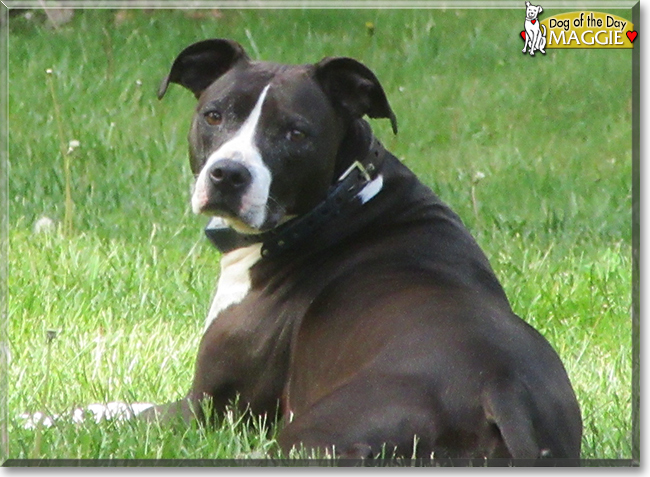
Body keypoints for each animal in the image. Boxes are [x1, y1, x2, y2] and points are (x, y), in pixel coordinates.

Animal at [148, 39, 584, 462]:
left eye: (296, 133)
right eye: (214, 116)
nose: (228, 174)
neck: (339, 201)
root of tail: (501, 390)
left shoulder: (204, 409)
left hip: (311, 435)